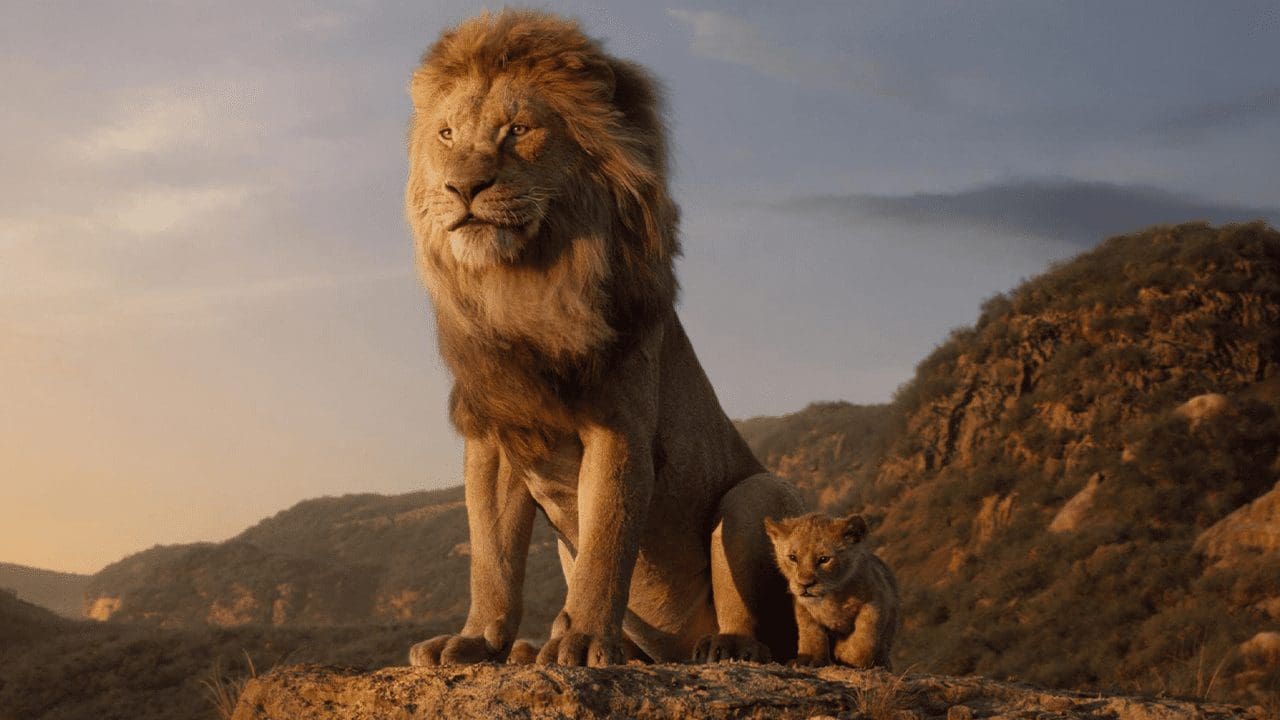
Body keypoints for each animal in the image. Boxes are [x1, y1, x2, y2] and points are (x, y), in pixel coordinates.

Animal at [403, 10, 804, 667]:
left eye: (518, 130)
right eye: (446, 135)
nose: (463, 188)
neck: (523, 288)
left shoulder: (619, 427)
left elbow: (606, 545)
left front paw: (585, 640)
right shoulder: (494, 435)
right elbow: (491, 557)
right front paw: (476, 640)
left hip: (757, 494)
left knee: (762, 624)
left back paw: (724, 646)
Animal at [764, 513, 900, 669]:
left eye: (824, 559)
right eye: (793, 558)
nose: (805, 584)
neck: (831, 597)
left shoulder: (876, 600)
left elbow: (865, 636)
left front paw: (845, 652)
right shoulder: (803, 607)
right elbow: (810, 632)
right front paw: (809, 659)